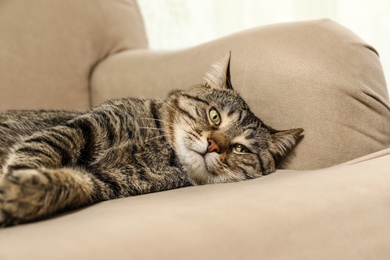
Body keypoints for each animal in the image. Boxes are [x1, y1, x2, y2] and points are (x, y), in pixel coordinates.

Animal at [0, 53, 304, 226]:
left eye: (240, 148)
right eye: (215, 116)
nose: (214, 145)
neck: (161, 149)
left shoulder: (107, 180)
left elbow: (76, 183)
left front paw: (22, 193)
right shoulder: (84, 127)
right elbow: (39, 152)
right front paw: (17, 178)